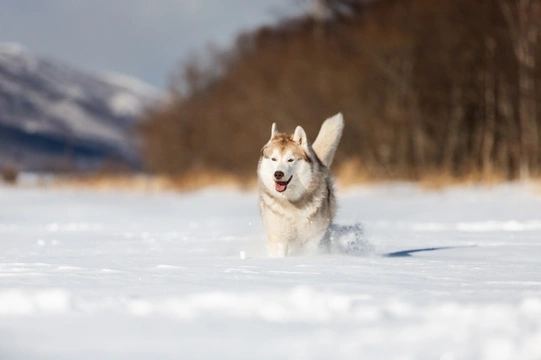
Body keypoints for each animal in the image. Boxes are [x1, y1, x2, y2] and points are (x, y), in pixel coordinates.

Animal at [256, 112, 342, 256]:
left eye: (290, 160)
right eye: (274, 159)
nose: (278, 174)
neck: (292, 203)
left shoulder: (312, 238)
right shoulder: (278, 237)